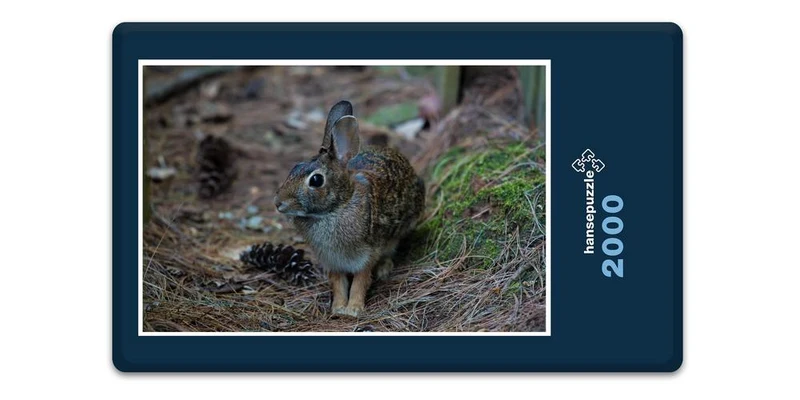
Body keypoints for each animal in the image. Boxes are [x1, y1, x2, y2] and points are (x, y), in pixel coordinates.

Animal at [274, 100, 425, 317]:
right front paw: (338, 308)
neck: (336, 208)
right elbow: (338, 283)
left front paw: (353, 309)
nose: (278, 202)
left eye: (316, 180)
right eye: (294, 167)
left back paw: (384, 269)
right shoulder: (332, 261)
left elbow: (360, 282)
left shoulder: (367, 254)